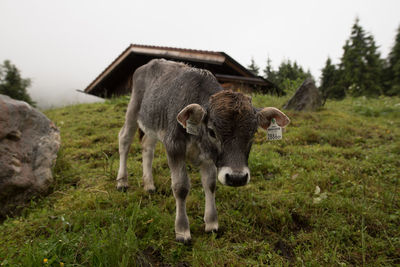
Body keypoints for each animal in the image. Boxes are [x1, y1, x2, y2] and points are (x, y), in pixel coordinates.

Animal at [117, 59, 290, 244]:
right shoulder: (174, 145)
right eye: (212, 132)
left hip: (153, 124)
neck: (199, 138)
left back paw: (149, 184)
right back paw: (122, 182)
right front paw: (182, 230)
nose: (237, 178)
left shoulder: (210, 157)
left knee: (147, 147)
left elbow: (210, 184)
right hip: (133, 108)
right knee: (124, 139)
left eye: (253, 133)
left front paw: (212, 223)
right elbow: (181, 187)